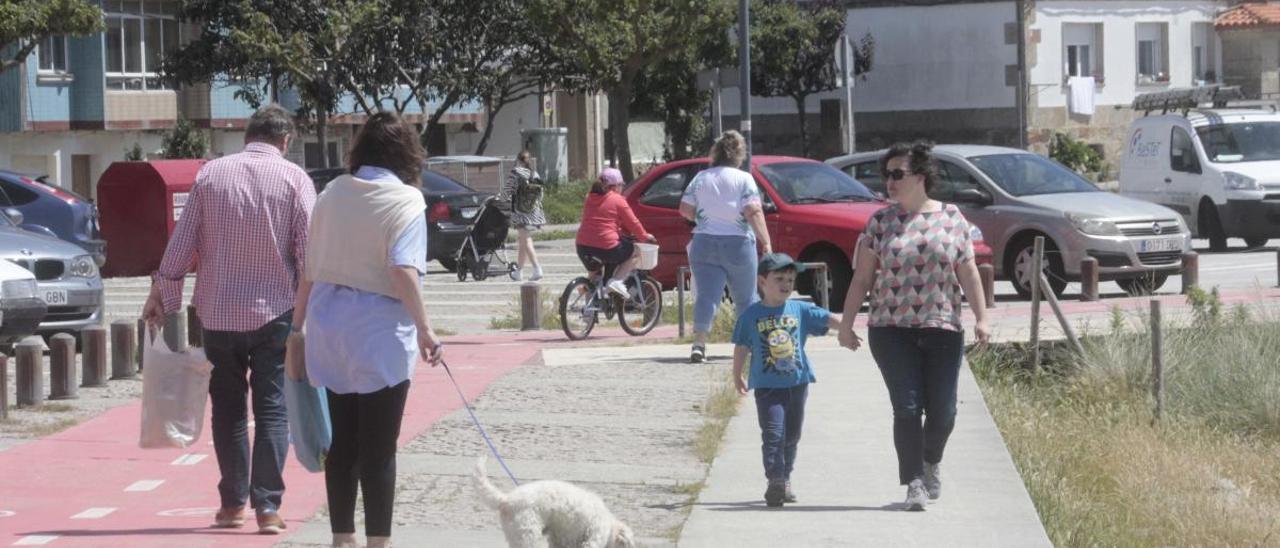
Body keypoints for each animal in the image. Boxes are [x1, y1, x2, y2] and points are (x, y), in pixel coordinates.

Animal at [473, 453, 637, 548]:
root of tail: (507, 499)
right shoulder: (594, 537)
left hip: (516, 535)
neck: (611, 526)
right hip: (527, 534)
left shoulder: (561, 539)